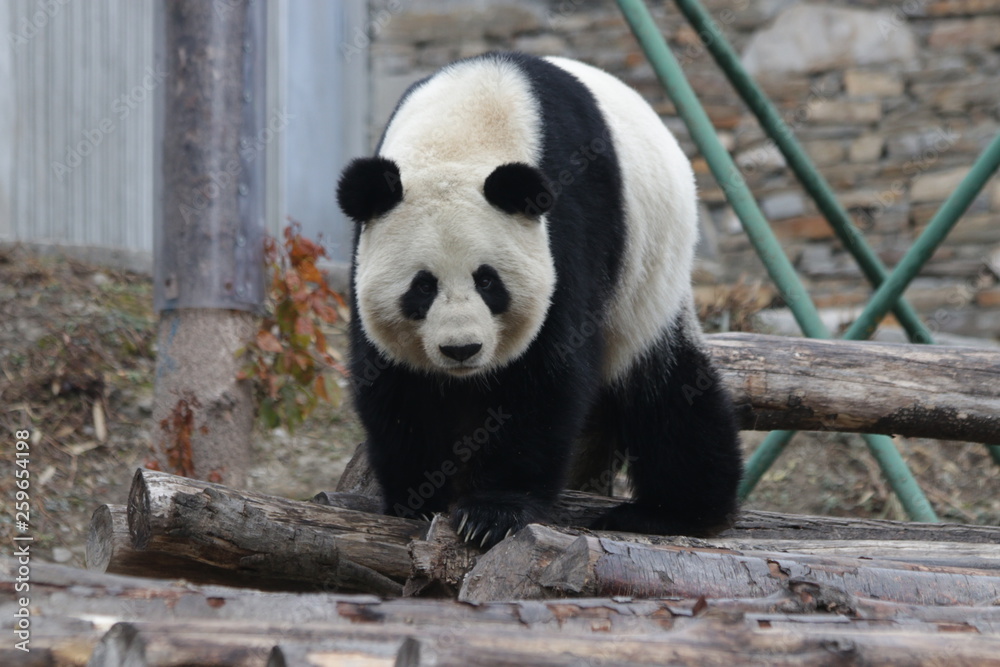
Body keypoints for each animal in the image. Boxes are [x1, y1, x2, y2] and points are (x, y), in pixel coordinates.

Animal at [337, 52, 743, 549]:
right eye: (423, 286)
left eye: (487, 281)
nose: (461, 349)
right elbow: (397, 382)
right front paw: (416, 498)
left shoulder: (569, 223)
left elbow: (544, 375)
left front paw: (492, 512)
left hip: (650, 268)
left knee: (663, 382)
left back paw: (676, 511)